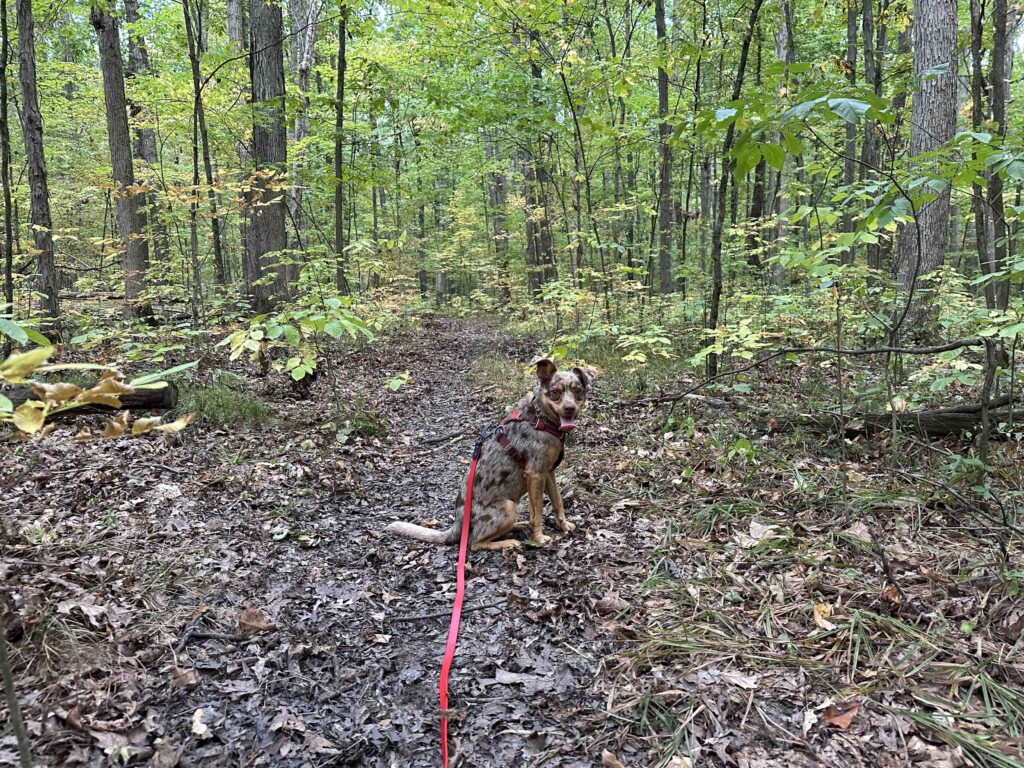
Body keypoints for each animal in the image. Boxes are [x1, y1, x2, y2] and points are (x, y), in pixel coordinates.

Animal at [385, 362, 598, 552]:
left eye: (578, 391)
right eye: (555, 392)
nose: (570, 408)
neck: (540, 418)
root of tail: (458, 525)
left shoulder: (548, 473)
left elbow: (558, 503)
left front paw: (564, 525)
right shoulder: (536, 475)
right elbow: (537, 513)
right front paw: (538, 538)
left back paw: (519, 526)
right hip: (508, 507)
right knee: (475, 543)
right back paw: (506, 542)